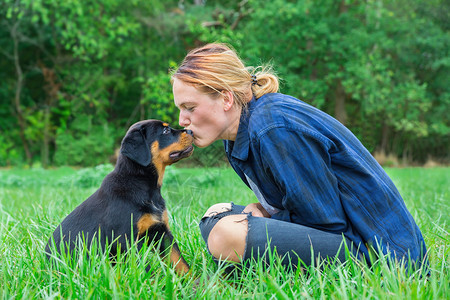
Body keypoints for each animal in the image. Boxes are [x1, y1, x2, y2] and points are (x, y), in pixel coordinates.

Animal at [44, 119, 194, 274]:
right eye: (165, 131)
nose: (191, 131)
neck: (145, 186)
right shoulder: (125, 238)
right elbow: (144, 267)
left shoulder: (162, 231)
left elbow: (180, 261)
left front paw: (194, 280)